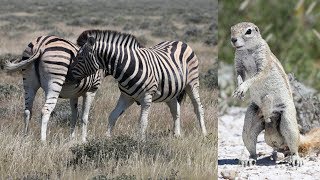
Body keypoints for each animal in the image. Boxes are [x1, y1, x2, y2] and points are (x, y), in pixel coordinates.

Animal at [70, 29, 208, 140]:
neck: (128, 67)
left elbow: (143, 122)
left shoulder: (146, 98)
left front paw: (140, 143)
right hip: (171, 91)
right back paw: (177, 135)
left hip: (192, 83)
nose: (69, 76)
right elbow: (113, 116)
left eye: (80, 58)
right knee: (176, 110)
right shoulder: (126, 97)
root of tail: (180, 42)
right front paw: (106, 139)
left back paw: (204, 134)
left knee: (198, 108)